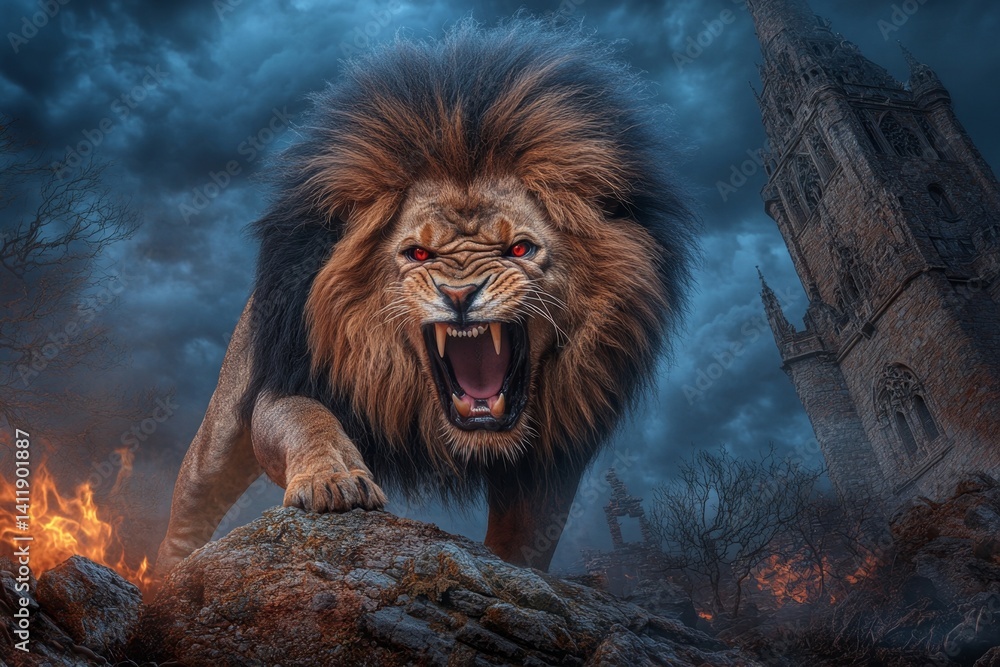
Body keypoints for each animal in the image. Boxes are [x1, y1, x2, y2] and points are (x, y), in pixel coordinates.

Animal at [154, 16, 696, 578]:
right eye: (417, 253)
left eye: (519, 248)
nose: (460, 293)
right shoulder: (287, 383)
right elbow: (308, 420)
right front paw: (335, 481)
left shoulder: (553, 455)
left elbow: (527, 537)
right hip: (218, 433)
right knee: (189, 508)